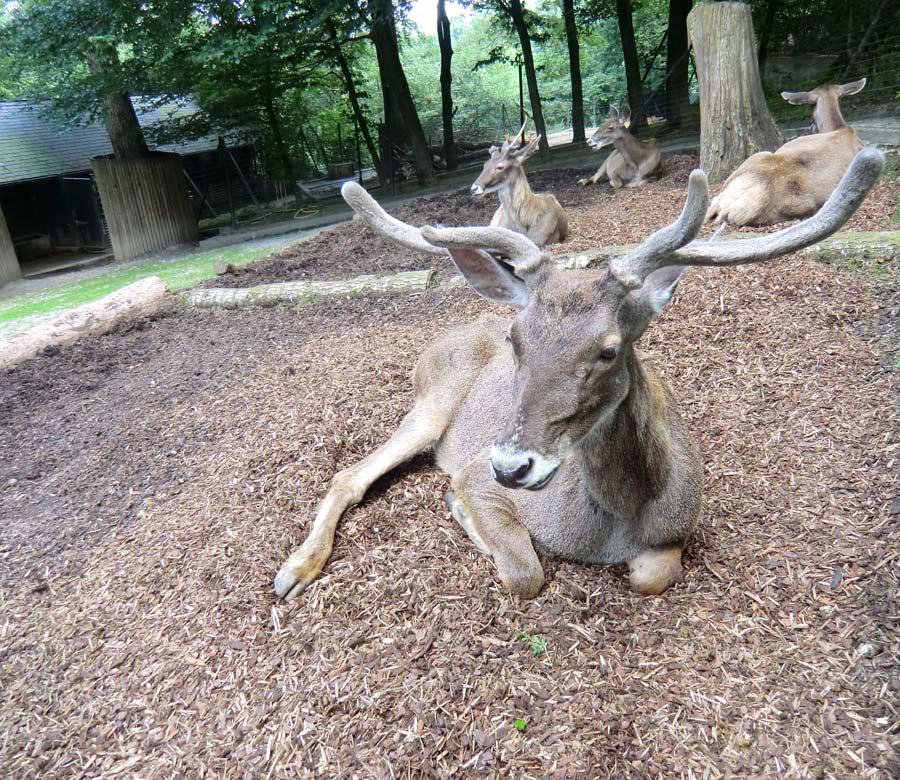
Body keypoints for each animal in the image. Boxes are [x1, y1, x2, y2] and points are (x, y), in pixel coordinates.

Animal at [272, 151, 880, 604]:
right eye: (516, 338)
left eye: (609, 349)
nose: (510, 466)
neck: (615, 527)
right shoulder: (473, 475)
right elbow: (525, 573)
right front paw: (461, 512)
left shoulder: (680, 527)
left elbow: (653, 574)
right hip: (430, 408)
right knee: (349, 474)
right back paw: (294, 570)